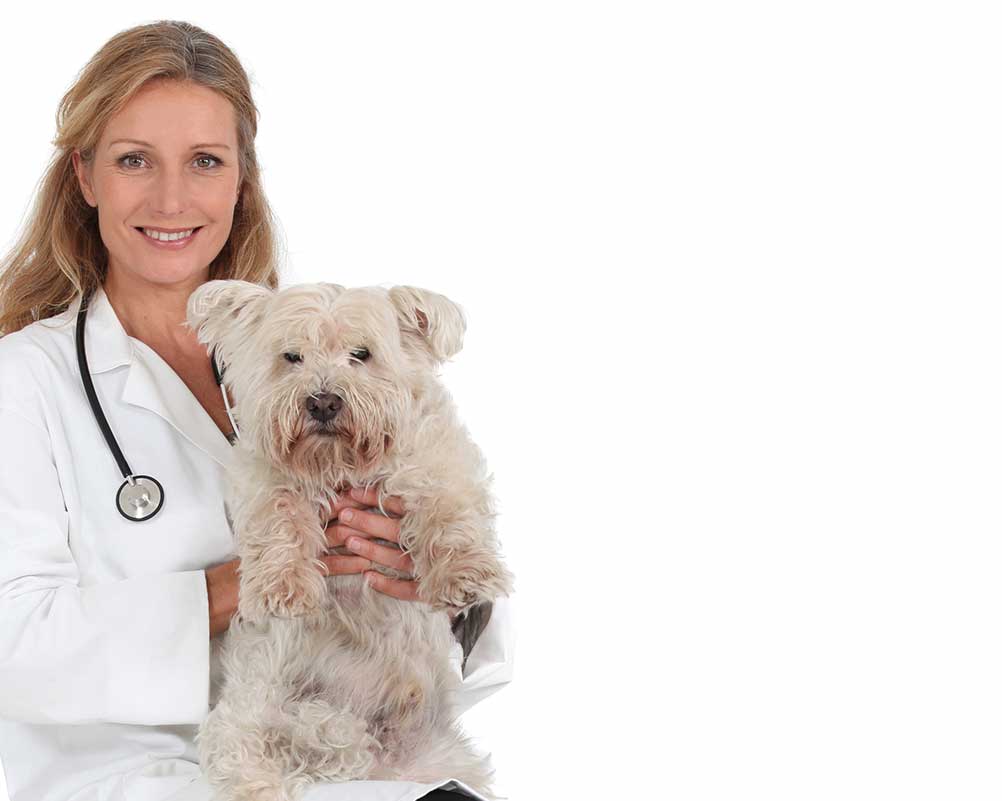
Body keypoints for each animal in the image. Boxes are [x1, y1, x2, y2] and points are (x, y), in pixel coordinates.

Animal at [184, 282, 517, 801]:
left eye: (362, 354)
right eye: (292, 356)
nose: (322, 402)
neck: (339, 463)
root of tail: (381, 764)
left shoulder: (436, 458)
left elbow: (449, 509)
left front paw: (465, 576)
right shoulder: (265, 475)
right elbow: (278, 517)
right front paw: (282, 587)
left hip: (448, 761)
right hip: (242, 718)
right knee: (253, 756)